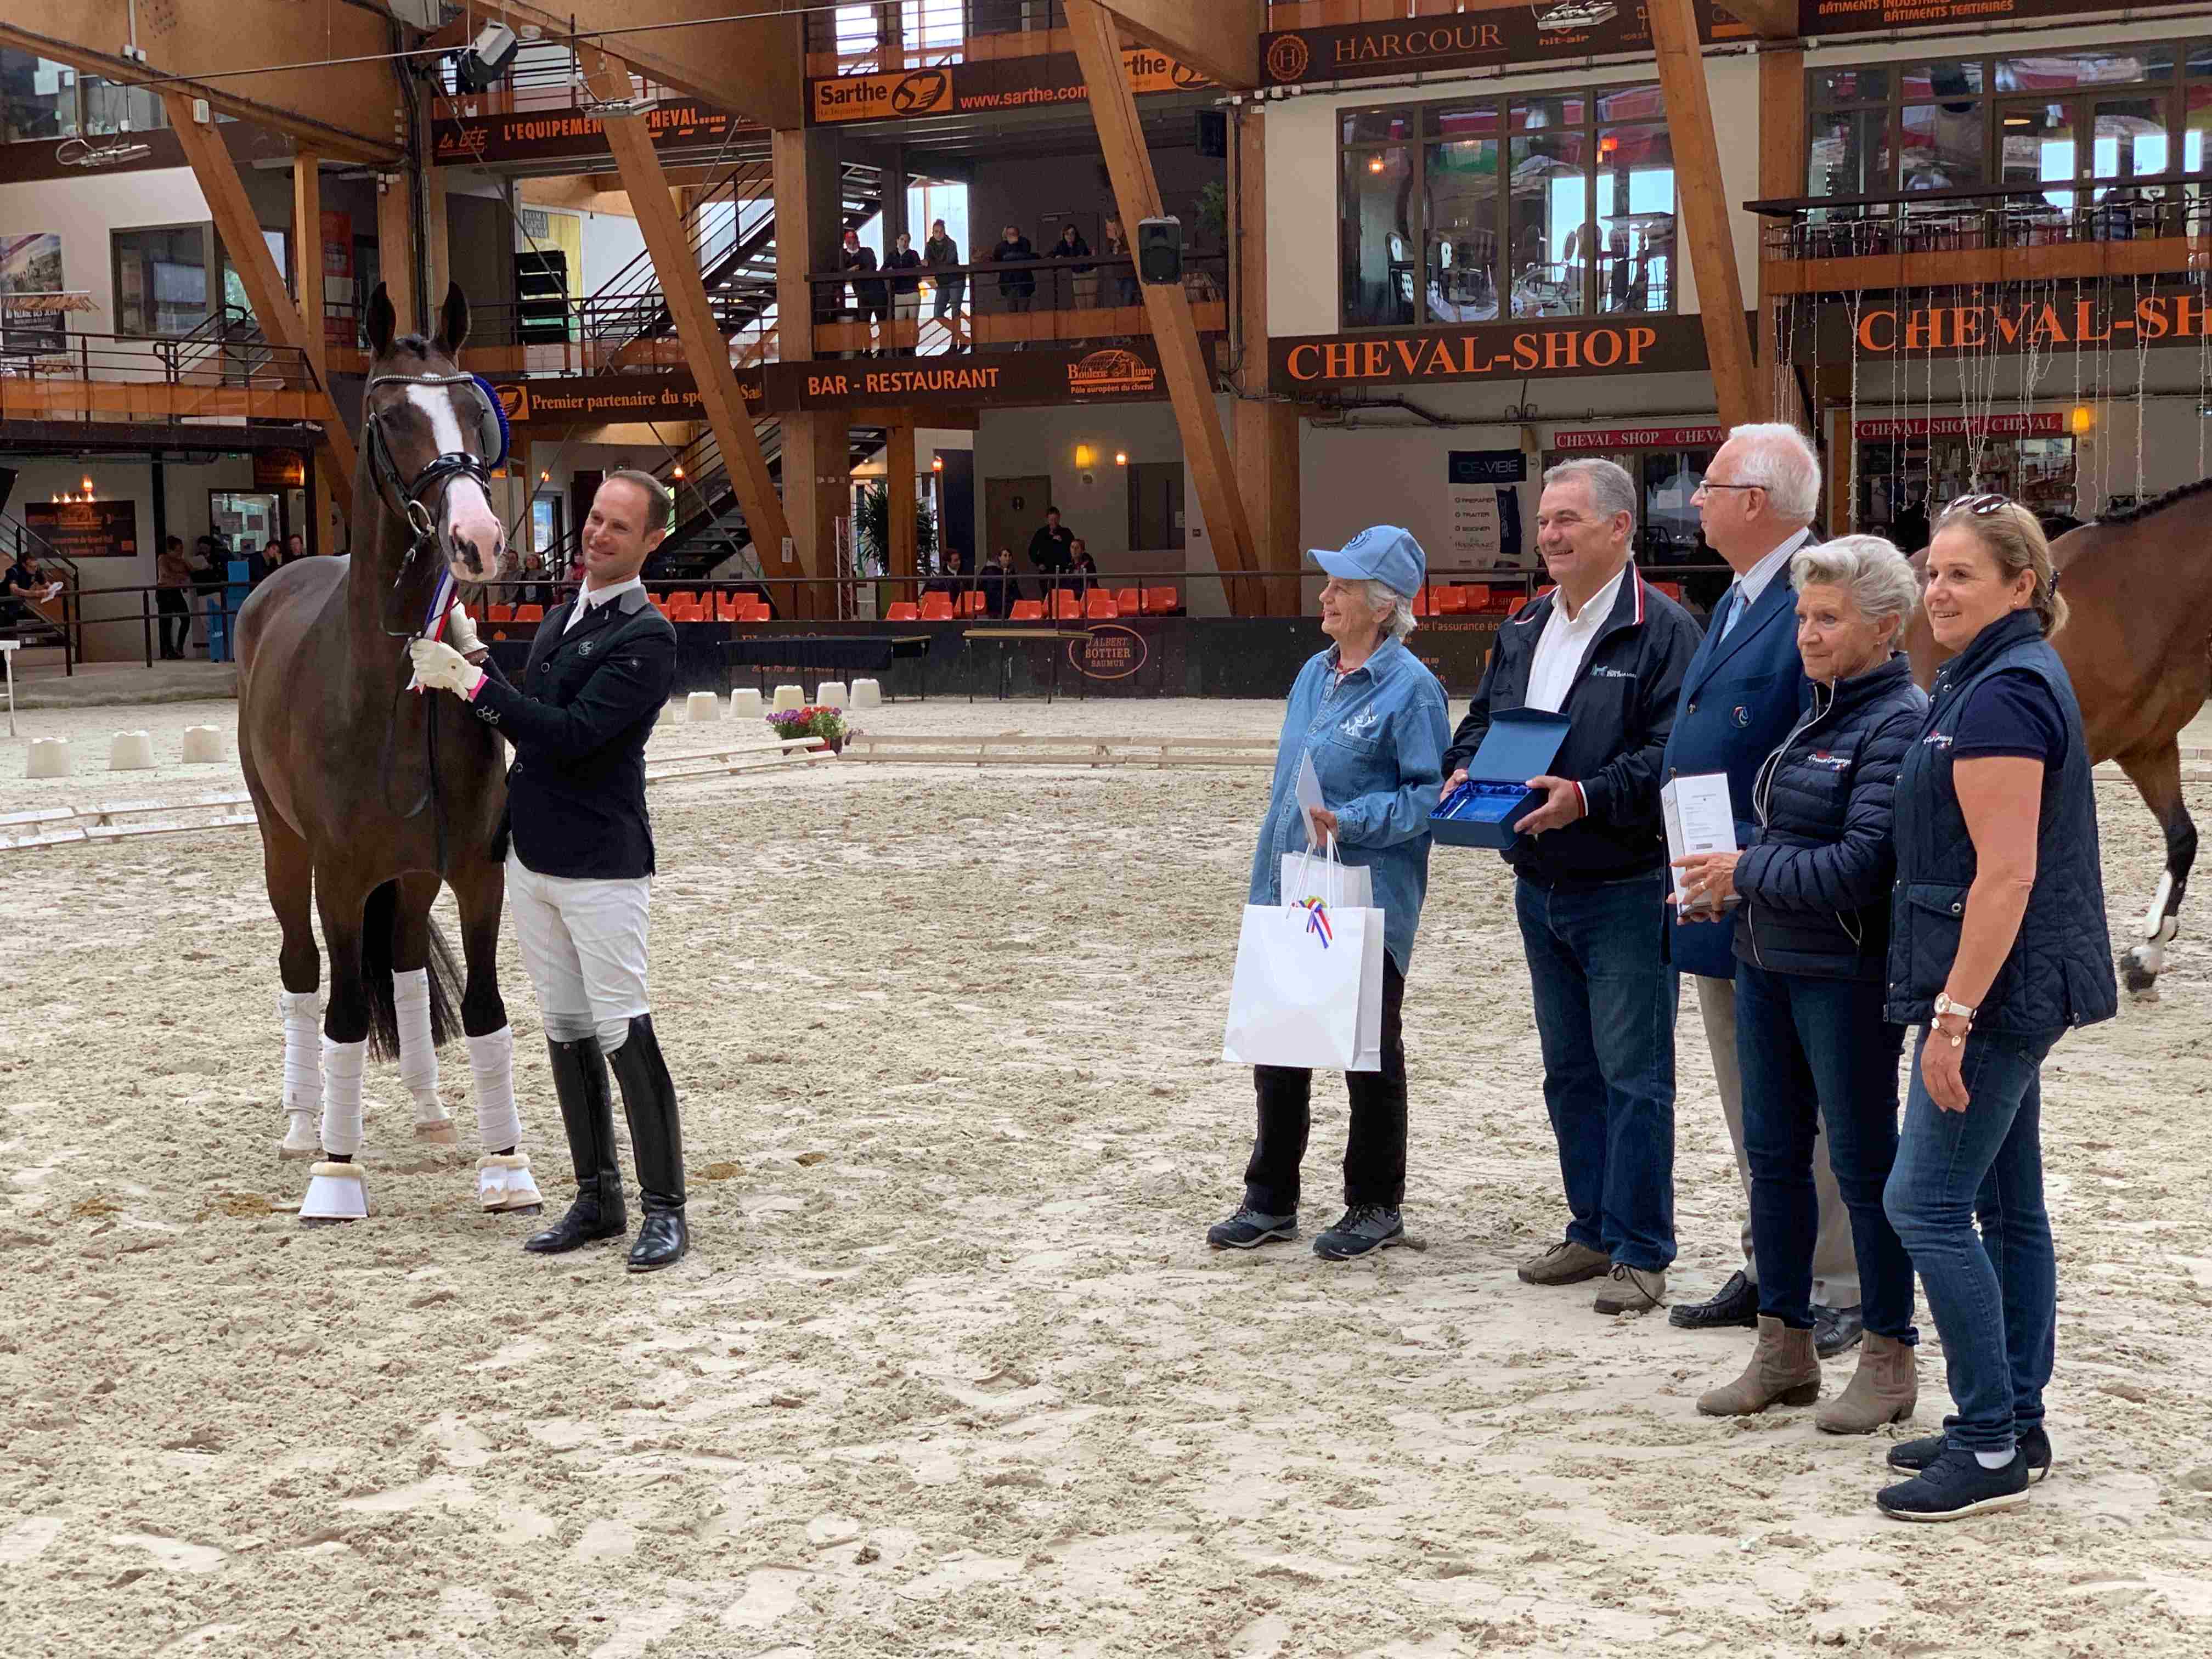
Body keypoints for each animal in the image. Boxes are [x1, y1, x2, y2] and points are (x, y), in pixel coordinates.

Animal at [240, 283, 537, 1221]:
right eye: (392, 415)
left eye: (475, 411)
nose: (478, 538)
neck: (389, 696)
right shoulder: (338, 878)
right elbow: (338, 1012)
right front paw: (337, 1173)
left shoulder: (476, 870)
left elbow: (485, 1009)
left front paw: (507, 1166)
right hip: (284, 851)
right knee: (302, 973)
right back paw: (304, 1123)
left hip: (410, 875)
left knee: (404, 966)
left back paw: (432, 1109)